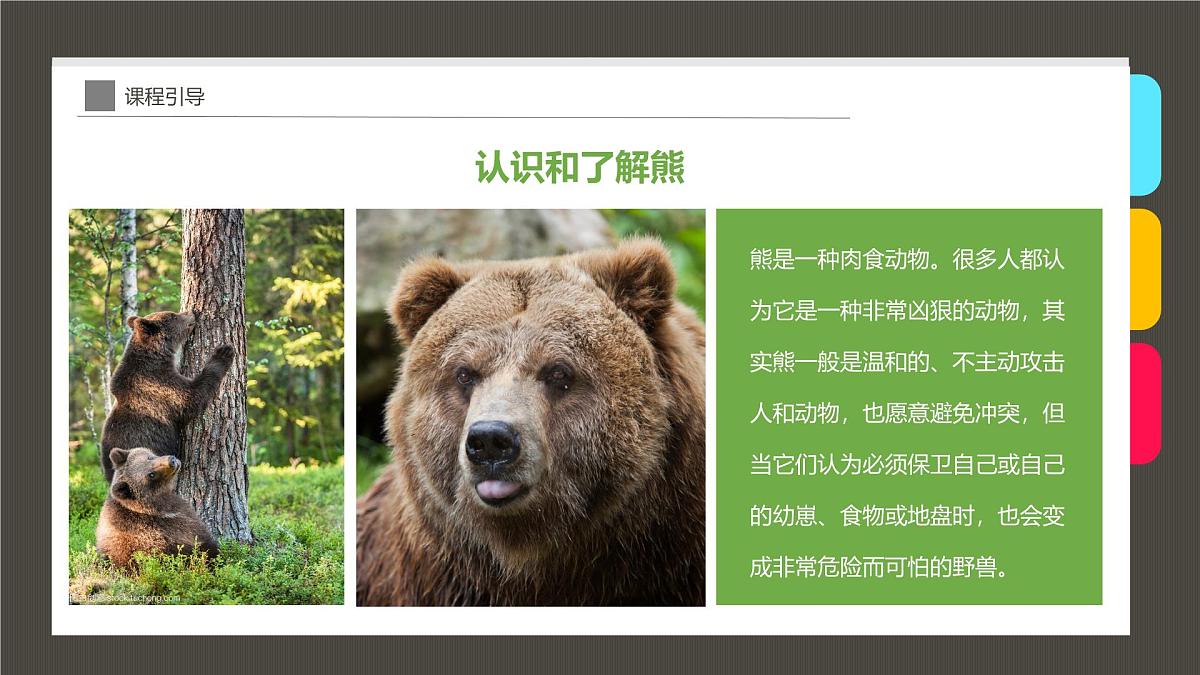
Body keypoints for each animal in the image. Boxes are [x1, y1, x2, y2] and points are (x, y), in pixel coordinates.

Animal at [100, 310, 234, 482]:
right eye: (173, 315)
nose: (192, 312)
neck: (155, 358)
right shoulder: (158, 385)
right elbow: (192, 397)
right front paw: (223, 352)